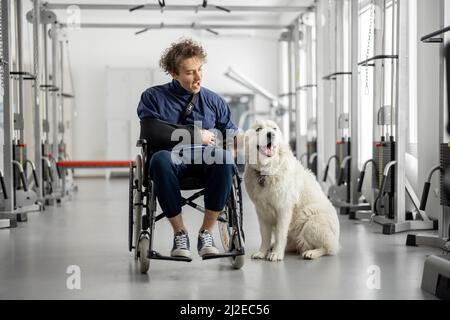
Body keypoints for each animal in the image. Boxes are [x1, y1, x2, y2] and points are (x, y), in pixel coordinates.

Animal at [244, 119, 340, 260]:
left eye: (274, 128)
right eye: (258, 129)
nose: (270, 134)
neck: (267, 172)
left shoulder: (283, 209)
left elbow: (280, 234)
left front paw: (276, 254)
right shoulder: (261, 211)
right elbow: (265, 236)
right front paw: (262, 252)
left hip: (310, 220)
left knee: (328, 248)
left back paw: (311, 253)